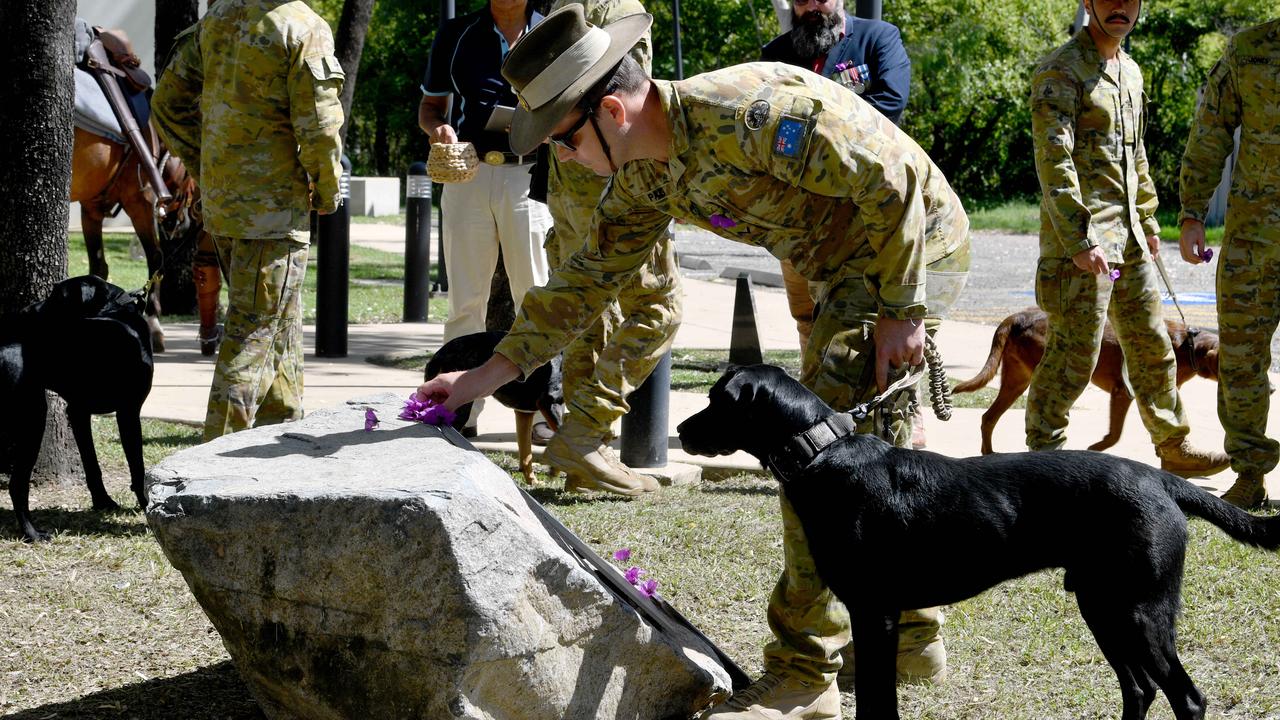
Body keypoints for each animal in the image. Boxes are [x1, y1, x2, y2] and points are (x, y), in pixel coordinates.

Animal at [0, 274, 152, 538]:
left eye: (57, 296)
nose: (25, 311)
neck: (115, 311)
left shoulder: (79, 411)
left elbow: (92, 463)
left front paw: (103, 501)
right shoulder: (128, 411)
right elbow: (137, 466)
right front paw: (146, 505)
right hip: (33, 418)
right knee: (17, 483)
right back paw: (32, 533)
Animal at [70, 127, 202, 353]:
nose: (184, 223)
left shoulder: (91, 206)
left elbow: (98, 267)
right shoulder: (139, 199)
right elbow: (155, 257)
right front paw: (153, 323)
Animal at [427, 330, 563, 481]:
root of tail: (438, 356)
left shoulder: (524, 413)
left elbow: (526, 452)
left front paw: (532, 480)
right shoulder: (549, 403)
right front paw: (554, 471)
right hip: (460, 407)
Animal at [680, 363, 1280, 717]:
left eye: (716, 399)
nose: (683, 431)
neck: (823, 455)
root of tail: (1161, 480)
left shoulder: (876, 612)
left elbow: (878, 699)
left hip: (1140, 611)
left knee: (1187, 697)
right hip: (1104, 606)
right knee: (1141, 689)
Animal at [962, 304, 1218, 450]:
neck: (1187, 345)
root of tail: (1017, 317)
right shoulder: (1123, 392)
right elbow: (1115, 435)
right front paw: (1095, 448)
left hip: (1016, 380)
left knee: (988, 417)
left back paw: (989, 454)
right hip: (1049, 375)